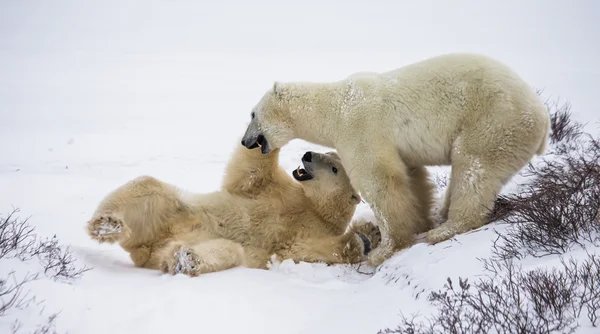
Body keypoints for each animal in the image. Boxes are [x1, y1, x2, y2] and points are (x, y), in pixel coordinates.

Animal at [84, 142, 380, 276]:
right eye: (325, 152)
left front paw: (368, 236)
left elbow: (302, 251)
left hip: (181, 238)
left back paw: (184, 259)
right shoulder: (279, 190)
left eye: (334, 168)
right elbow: (252, 171)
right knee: (147, 185)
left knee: (227, 250)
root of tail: (149, 248)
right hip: (173, 212)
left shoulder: (313, 230)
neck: (313, 206)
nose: (307, 155)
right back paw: (106, 223)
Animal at [241, 52, 552, 266]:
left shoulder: (360, 127)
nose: (245, 141)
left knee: (473, 167)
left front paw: (383, 250)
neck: (335, 107)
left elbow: (379, 182)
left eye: (253, 114)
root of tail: (544, 119)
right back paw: (441, 217)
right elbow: (413, 177)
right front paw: (420, 221)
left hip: (494, 122)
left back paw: (445, 229)